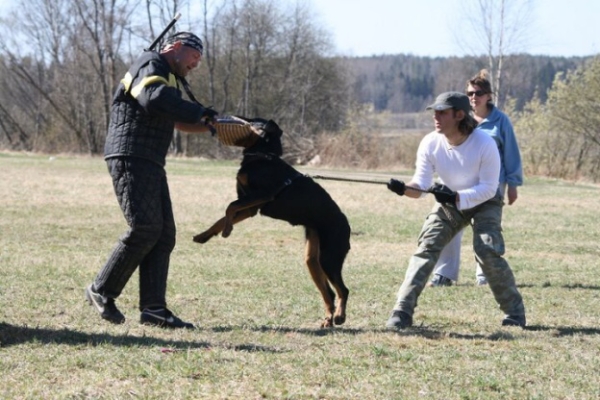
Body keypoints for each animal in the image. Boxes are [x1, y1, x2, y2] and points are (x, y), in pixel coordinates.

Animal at [192, 116, 352, 328]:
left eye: (252, 120)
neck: (262, 156)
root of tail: (346, 225)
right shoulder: (250, 206)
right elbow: (224, 214)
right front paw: (205, 235)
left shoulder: (261, 195)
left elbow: (229, 207)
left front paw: (227, 230)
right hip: (313, 258)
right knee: (330, 293)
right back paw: (328, 320)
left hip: (329, 257)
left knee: (343, 290)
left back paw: (340, 316)